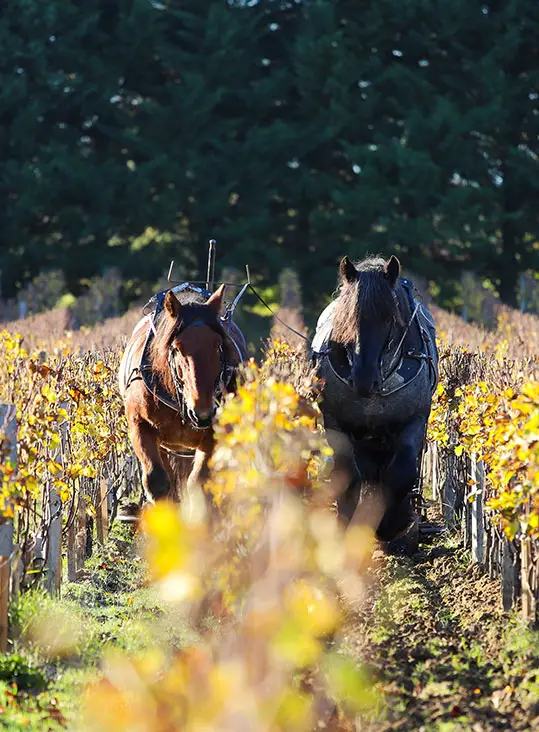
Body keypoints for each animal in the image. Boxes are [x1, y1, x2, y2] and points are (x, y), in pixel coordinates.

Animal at [118, 284, 247, 507]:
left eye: (218, 345)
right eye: (177, 348)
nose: (202, 412)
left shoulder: (214, 432)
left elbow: (200, 484)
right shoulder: (139, 424)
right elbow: (157, 481)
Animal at [311, 255, 438, 552]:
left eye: (389, 317)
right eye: (346, 317)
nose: (363, 378)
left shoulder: (414, 419)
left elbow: (402, 471)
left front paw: (393, 524)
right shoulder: (335, 421)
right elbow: (348, 472)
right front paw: (348, 521)